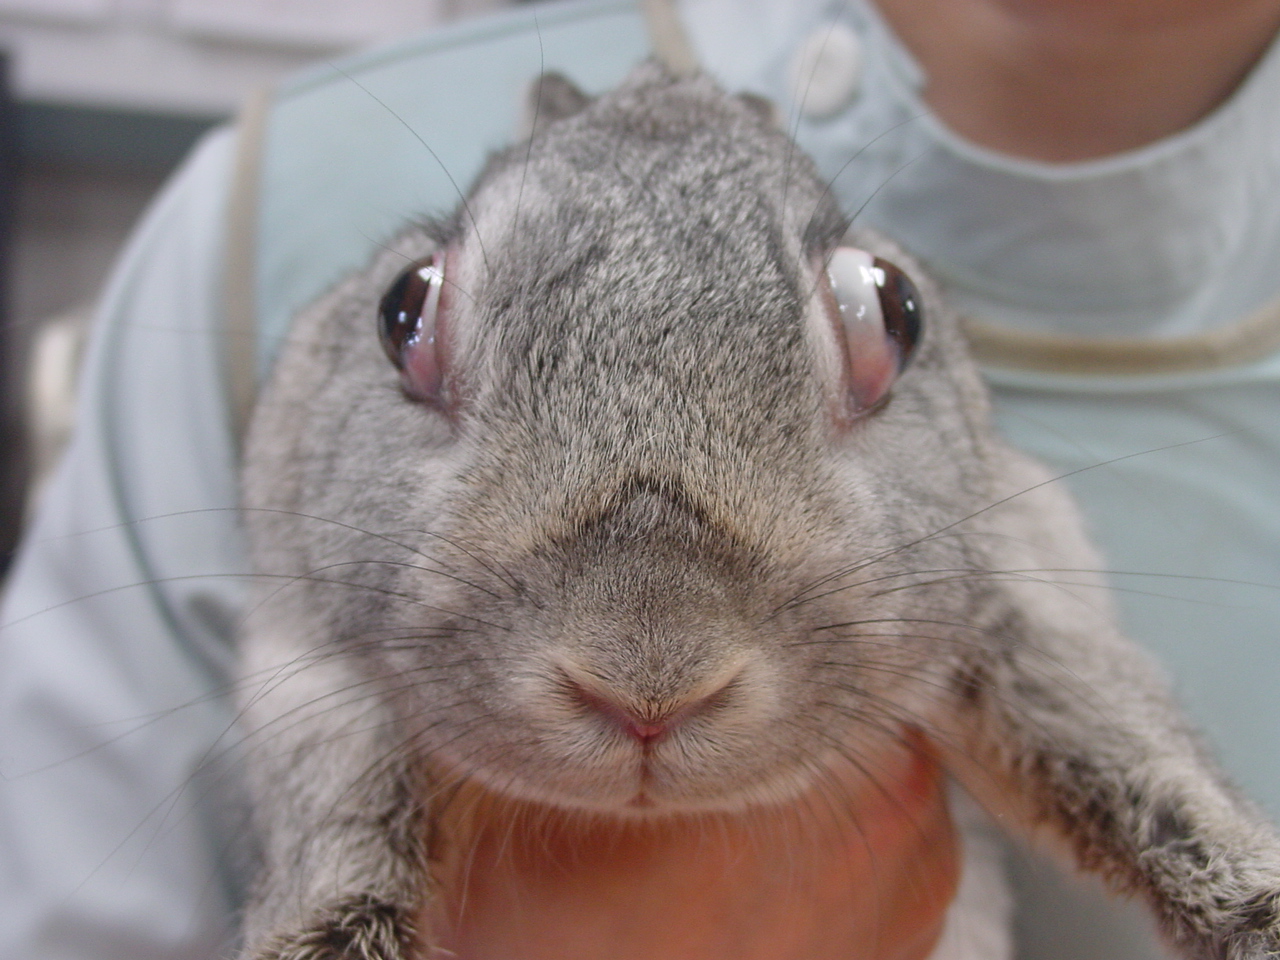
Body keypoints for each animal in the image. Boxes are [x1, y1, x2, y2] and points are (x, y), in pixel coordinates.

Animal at [235, 64, 1280, 957]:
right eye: (402, 308)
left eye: (895, 311)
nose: (648, 679)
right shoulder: (302, 656)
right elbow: (336, 819)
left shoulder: (1020, 584)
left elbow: (1129, 749)